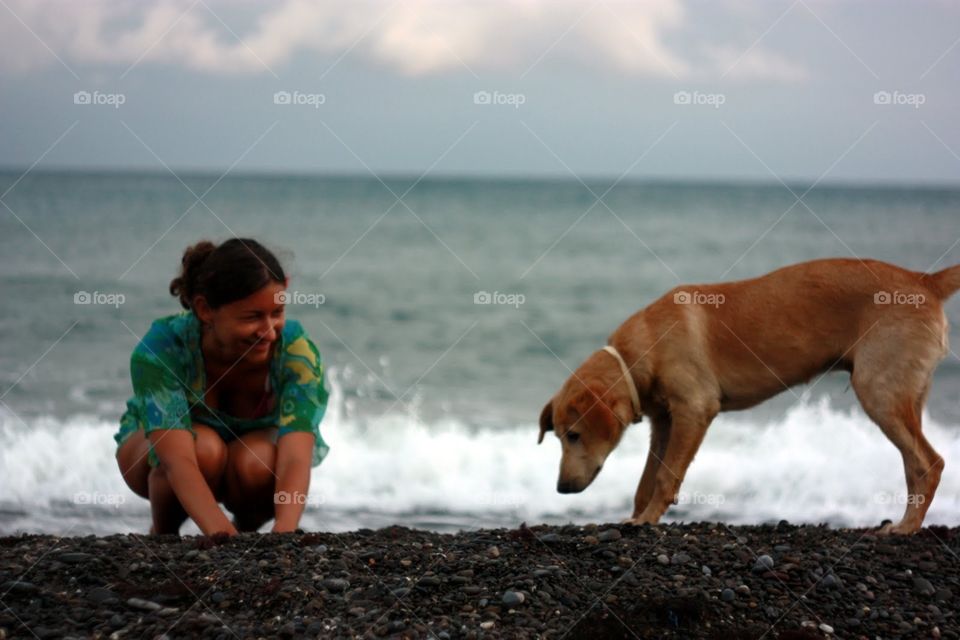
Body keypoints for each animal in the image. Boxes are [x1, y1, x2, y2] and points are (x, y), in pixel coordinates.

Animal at [540, 258, 960, 536]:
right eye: (557, 437)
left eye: (573, 435)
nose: (561, 488)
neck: (642, 350)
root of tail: (925, 281)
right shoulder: (664, 422)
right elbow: (646, 478)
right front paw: (637, 517)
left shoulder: (694, 410)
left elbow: (665, 475)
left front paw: (648, 519)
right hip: (904, 396)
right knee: (913, 464)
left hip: (878, 391)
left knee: (930, 462)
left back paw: (906, 527)